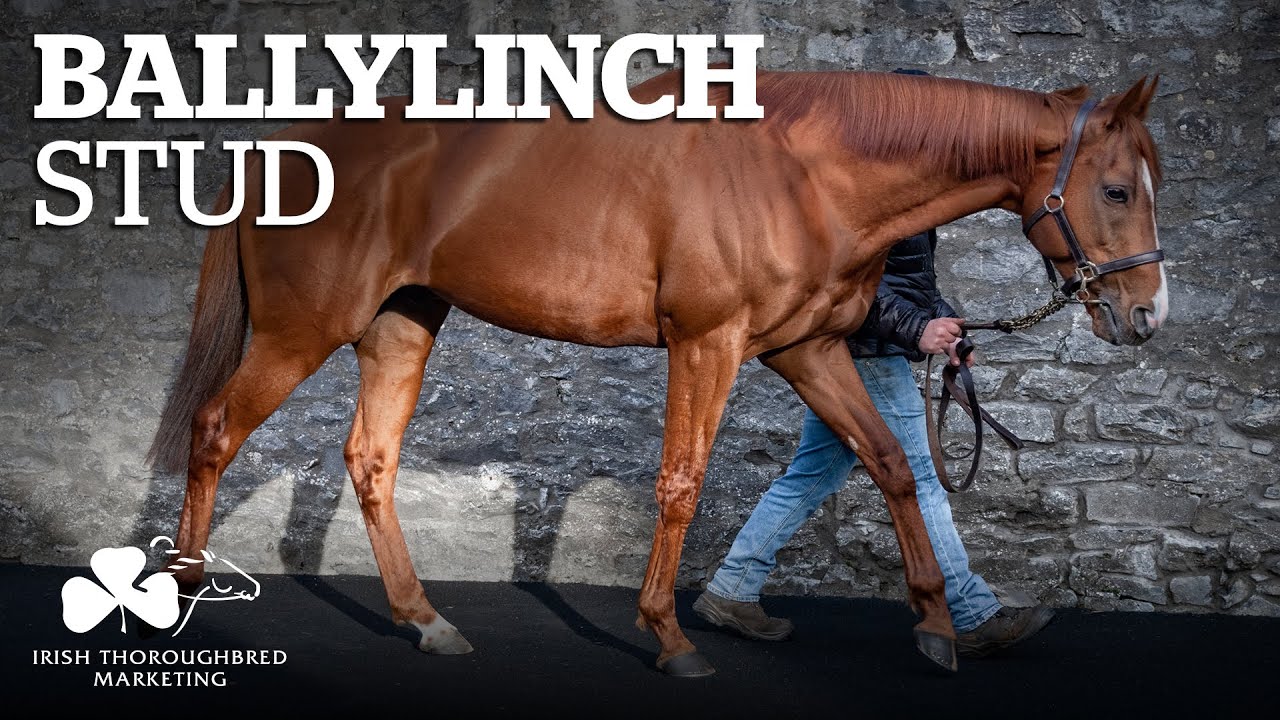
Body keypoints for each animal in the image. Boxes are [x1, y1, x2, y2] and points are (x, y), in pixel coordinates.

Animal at [145, 68, 1166, 676]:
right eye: (1116, 188)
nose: (1147, 314)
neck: (802, 173)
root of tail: (282, 150)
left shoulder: (807, 351)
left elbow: (892, 465)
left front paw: (940, 625)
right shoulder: (706, 343)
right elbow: (681, 482)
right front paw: (670, 636)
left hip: (402, 327)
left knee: (370, 460)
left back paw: (424, 618)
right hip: (303, 330)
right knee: (216, 430)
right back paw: (188, 594)